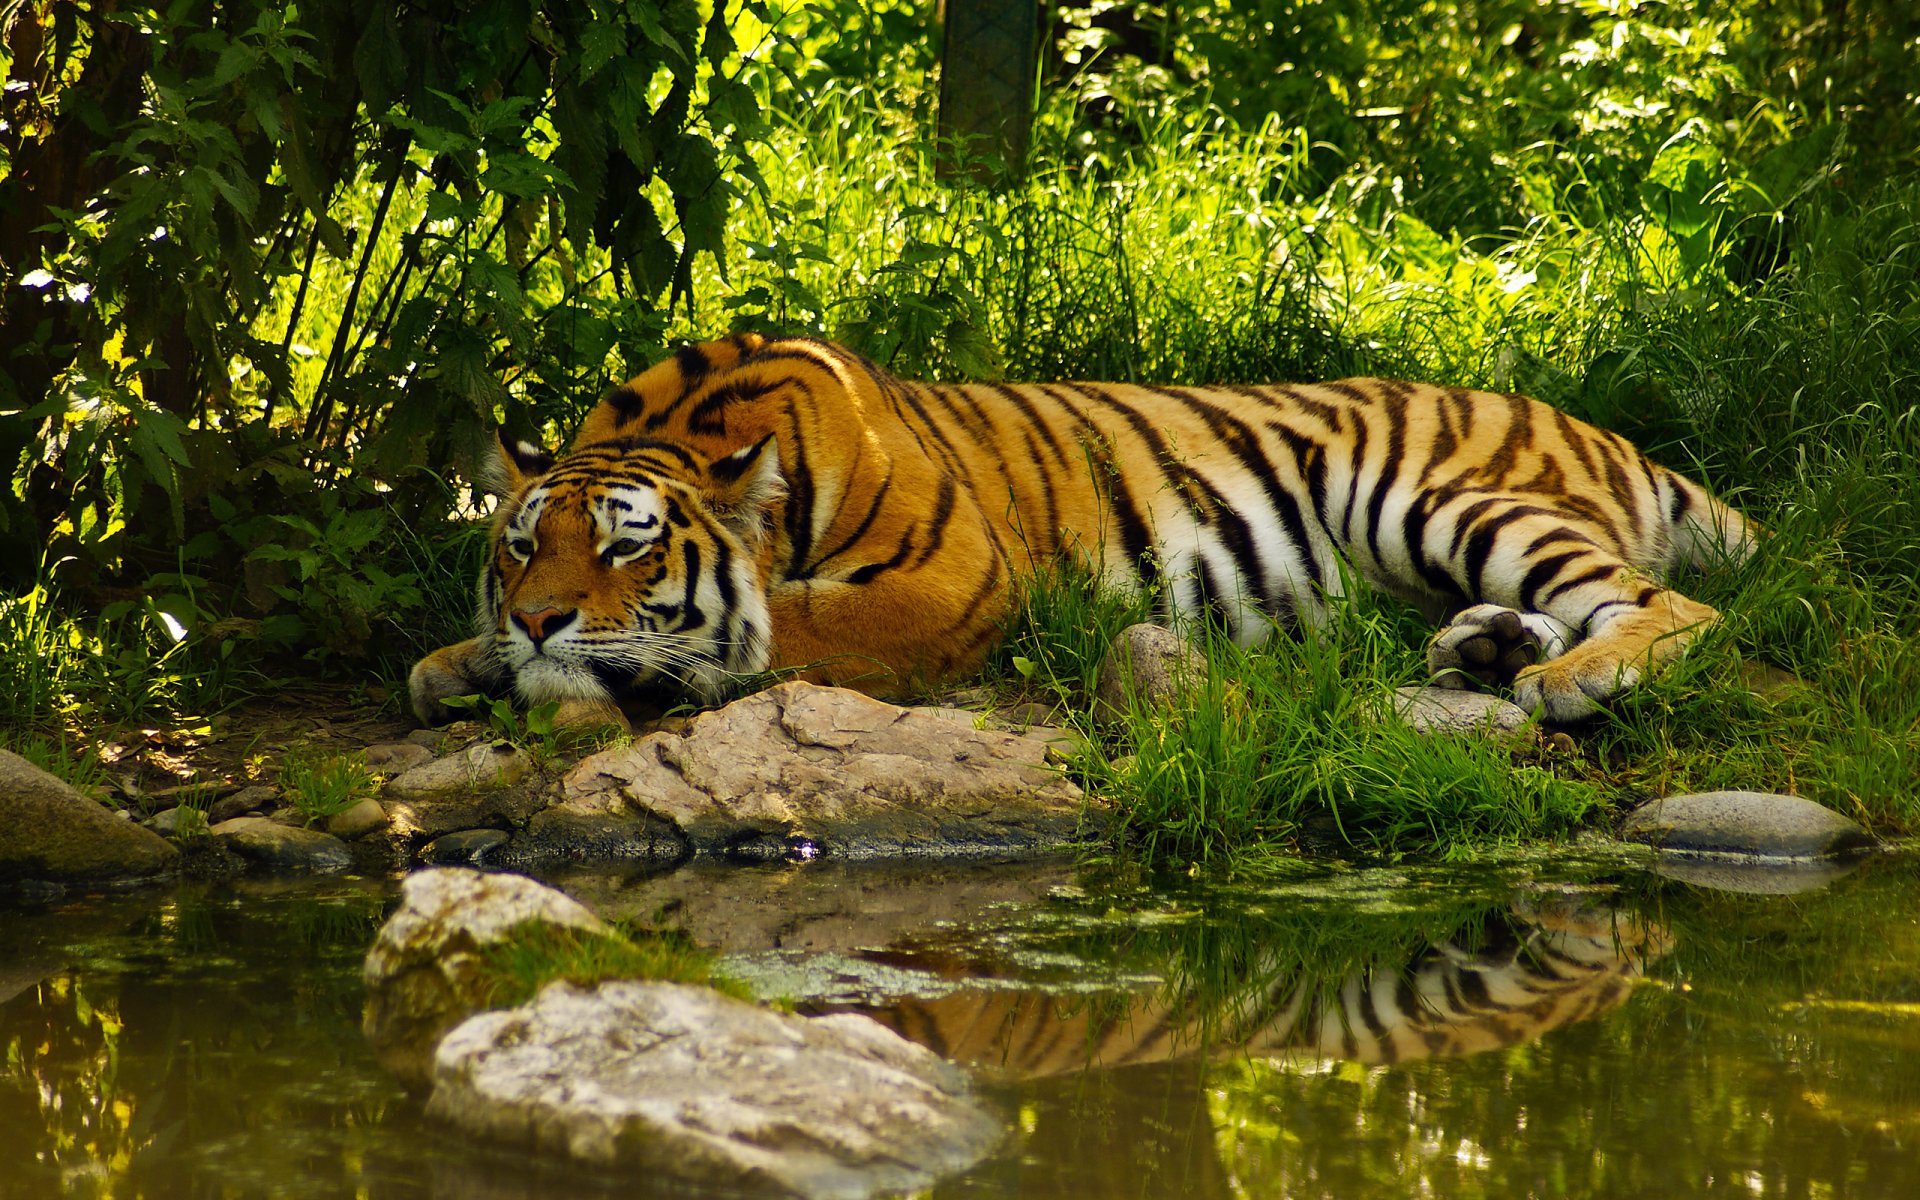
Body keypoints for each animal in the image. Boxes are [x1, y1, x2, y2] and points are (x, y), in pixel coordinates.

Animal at [408, 333, 1754, 728]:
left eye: (628, 547)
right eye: (521, 545)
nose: (539, 619)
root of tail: (1600, 429)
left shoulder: (951, 581)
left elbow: (780, 626)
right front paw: (460, 660)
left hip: (1435, 495)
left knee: (1672, 605)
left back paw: (1569, 680)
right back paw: (1486, 650)